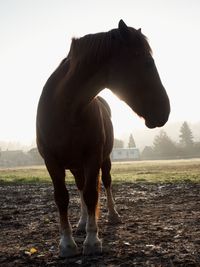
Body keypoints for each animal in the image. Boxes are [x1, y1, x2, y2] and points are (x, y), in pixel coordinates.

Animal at [36, 19, 170, 258]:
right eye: (147, 62)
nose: (165, 111)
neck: (66, 108)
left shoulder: (92, 157)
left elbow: (92, 194)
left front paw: (91, 241)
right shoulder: (51, 161)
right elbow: (62, 197)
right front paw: (67, 244)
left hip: (103, 160)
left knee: (105, 183)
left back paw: (112, 215)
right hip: (75, 165)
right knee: (79, 188)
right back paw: (81, 223)